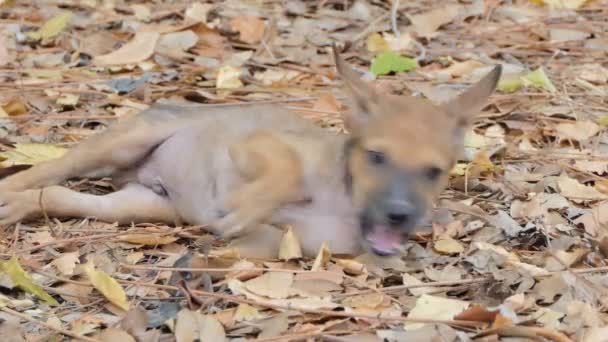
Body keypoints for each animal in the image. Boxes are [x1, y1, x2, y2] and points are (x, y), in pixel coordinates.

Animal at [0, 47, 498, 256]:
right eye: (376, 157)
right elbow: (286, 172)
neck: (341, 201)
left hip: (142, 205)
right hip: (124, 142)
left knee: (60, 196)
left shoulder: (292, 244)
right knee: (51, 169)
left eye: (434, 172)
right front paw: (246, 205)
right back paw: (11, 192)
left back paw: (19, 206)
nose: (399, 215)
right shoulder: (255, 145)